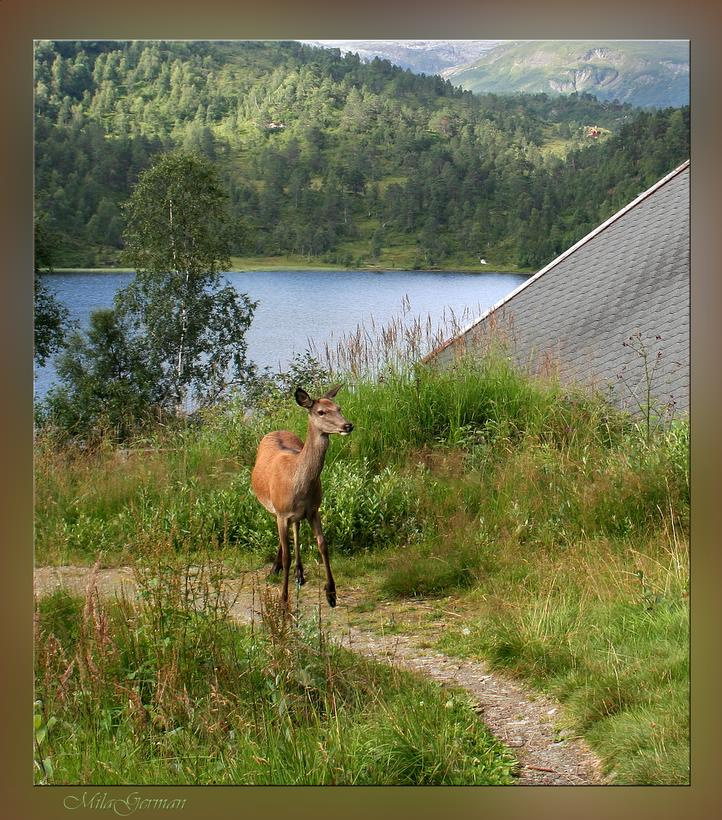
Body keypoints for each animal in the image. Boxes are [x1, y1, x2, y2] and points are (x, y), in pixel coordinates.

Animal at [251, 385, 353, 609]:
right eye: (321, 412)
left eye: (339, 408)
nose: (348, 425)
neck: (297, 483)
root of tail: (276, 430)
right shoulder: (282, 512)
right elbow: (287, 555)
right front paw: (283, 599)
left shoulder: (314, 509)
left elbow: (323, 545)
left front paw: (331, 593)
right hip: (274, 507)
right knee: (285, 537)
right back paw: (276, 569)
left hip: (296, 513)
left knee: (296, 527)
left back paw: (300, 572)